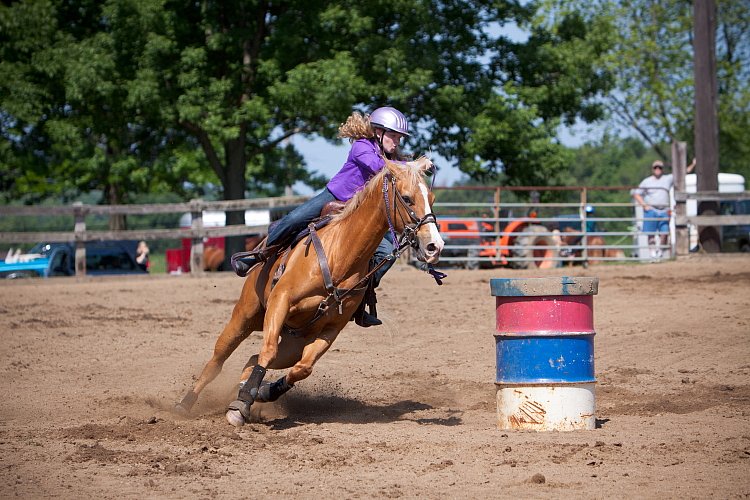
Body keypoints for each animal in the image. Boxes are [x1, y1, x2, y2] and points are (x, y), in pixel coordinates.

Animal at [178, 156, 446, 426]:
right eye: (407, 198)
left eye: (432, 199)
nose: (435, 246)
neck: (339, 255)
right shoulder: (280, 301)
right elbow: (268, 350)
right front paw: (241, 405)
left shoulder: (331, 328)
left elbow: (303, 368)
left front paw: (261, 392)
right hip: (245, 316)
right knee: (218, 360)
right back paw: (185, 403)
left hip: (293, 342)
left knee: (255, 358)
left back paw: (245, 388)